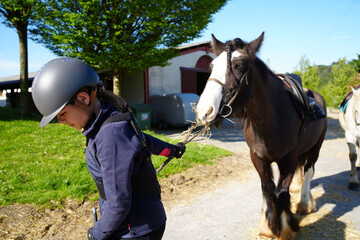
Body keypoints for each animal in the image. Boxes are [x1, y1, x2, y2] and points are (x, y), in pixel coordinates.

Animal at [195, 32, 328, 240]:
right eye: (212, 66)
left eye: (239, 66)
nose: (204, 111)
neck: (270, 120)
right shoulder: (257, 158)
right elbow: (268, 189)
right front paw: (267, 225)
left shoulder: (288, 160)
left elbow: (281, 193)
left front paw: (284, 227)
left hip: (316, 146)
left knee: (308, 171)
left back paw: (304, 203)